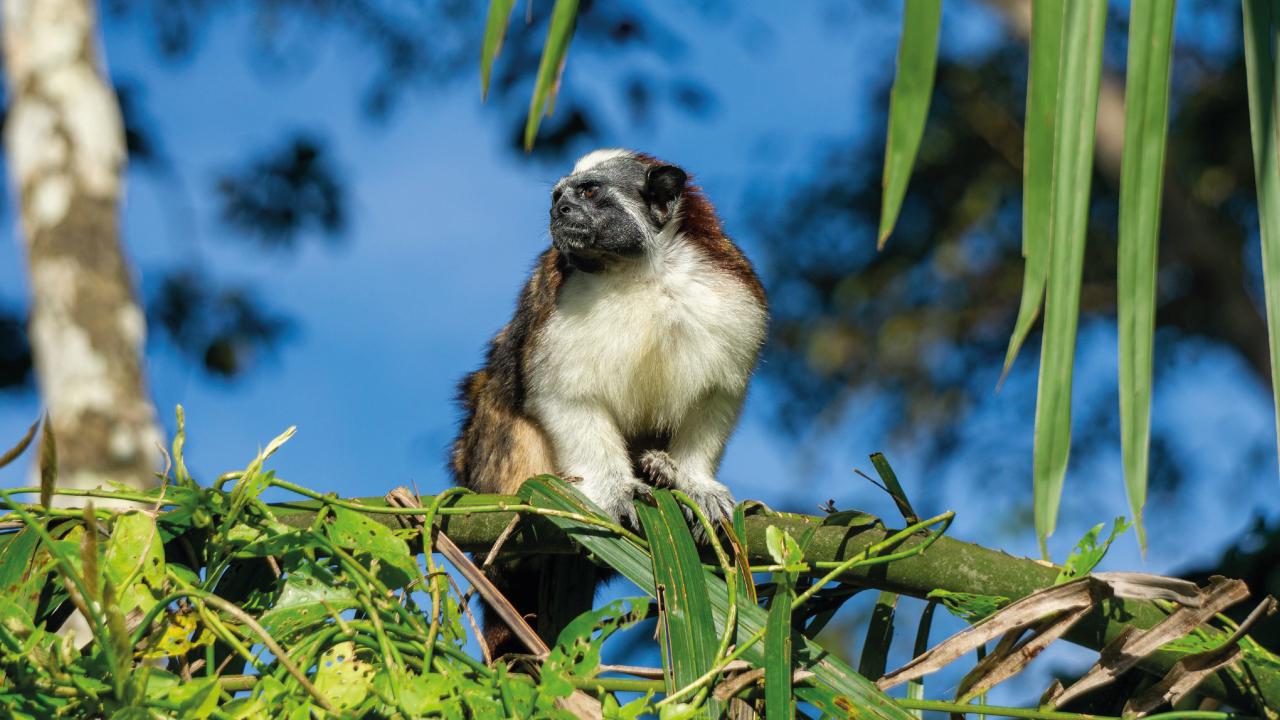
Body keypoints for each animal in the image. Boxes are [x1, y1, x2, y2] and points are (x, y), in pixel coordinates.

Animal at [450, 148, 768, 657]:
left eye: (590, 192)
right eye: (558, 197)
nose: (559, 211)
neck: (639, 273)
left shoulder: (731, 299)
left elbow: (715, 398)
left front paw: (695, 482)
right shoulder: (558, 308)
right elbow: (565, 398)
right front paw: (616, 489)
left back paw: (660, 469)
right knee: (497, 401)